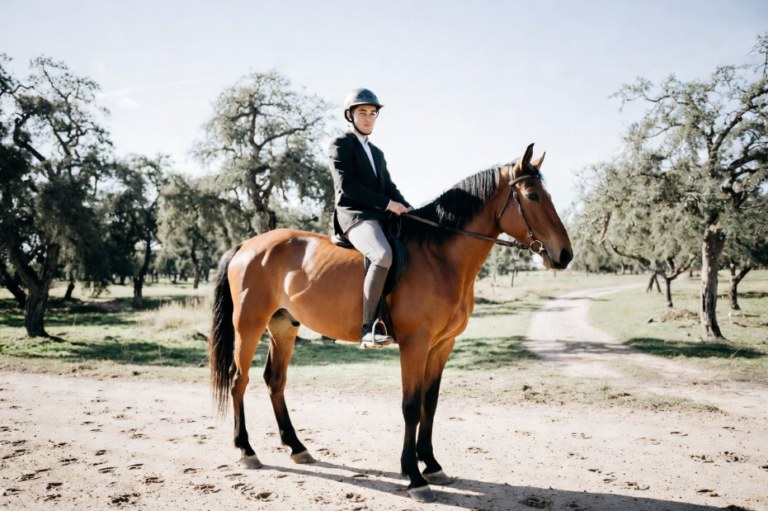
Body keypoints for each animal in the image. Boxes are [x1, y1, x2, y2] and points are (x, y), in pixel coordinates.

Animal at [208, 143, 573, 503]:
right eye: (532, 195)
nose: (565, 255)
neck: (440, 257)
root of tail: (247, 245)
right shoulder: (415, 343)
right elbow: (410, 406)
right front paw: (414, 477)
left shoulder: (442, 345)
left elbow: (429, 403)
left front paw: (433, 466)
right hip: (249, 326)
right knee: (238, 379)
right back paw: (247, 450)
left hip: (283, 327)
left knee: (275, 381)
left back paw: (297, 448)